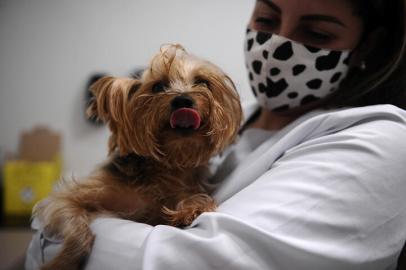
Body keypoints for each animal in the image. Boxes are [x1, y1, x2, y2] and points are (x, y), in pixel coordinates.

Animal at [34, 44, 241, 270]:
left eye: (203, 82)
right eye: (158, 87)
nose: (183, 99)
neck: (169, 164)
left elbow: (196, 199)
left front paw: (191, 209)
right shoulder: (64, 201)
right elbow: (76, 227)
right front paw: (61, 262)